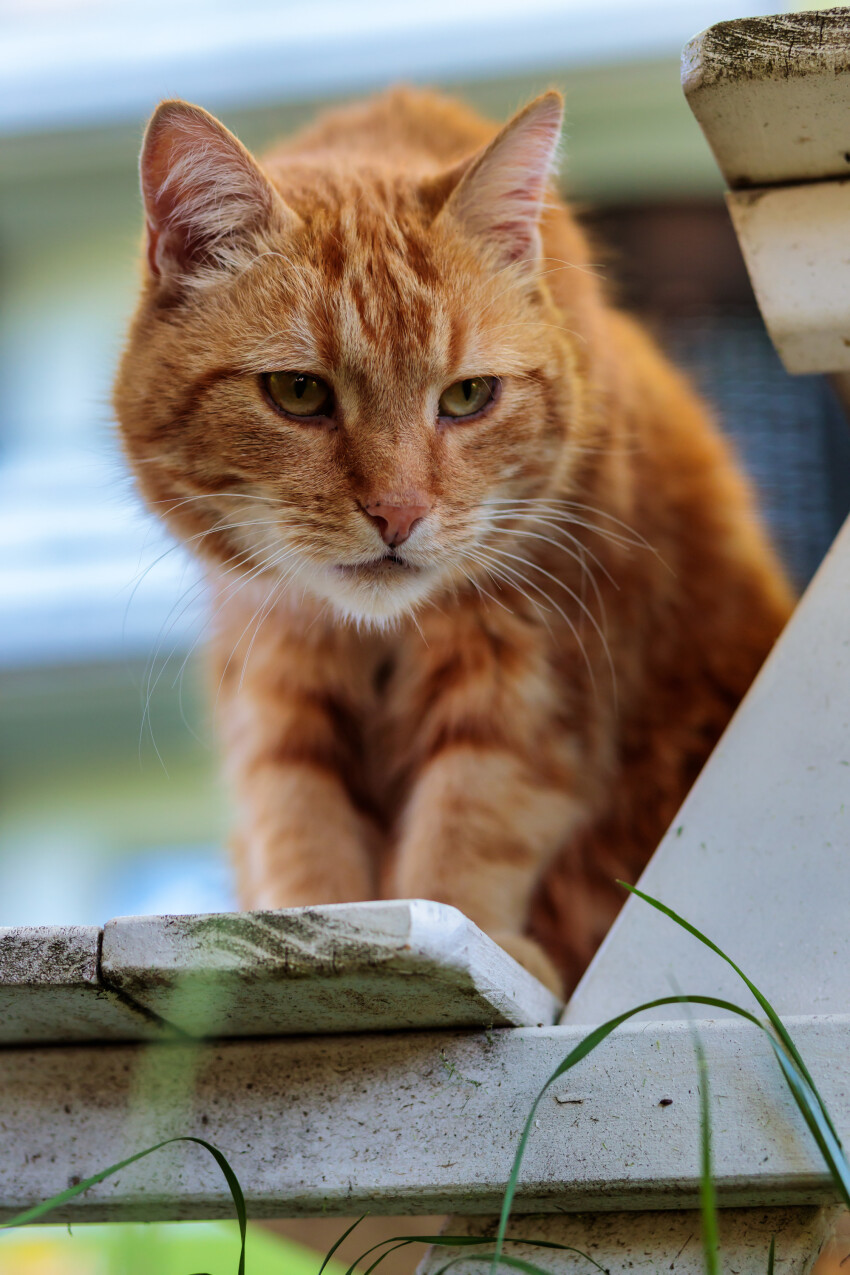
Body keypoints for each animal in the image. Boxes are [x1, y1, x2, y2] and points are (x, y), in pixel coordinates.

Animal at [112, 87, 790, 994]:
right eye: (298, 392)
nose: (398, 514)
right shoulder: (279, 662)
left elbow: (474, 813)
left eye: (468, 396)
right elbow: (300, 820)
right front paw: (304, 932)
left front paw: (476, 936)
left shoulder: (535, 656)